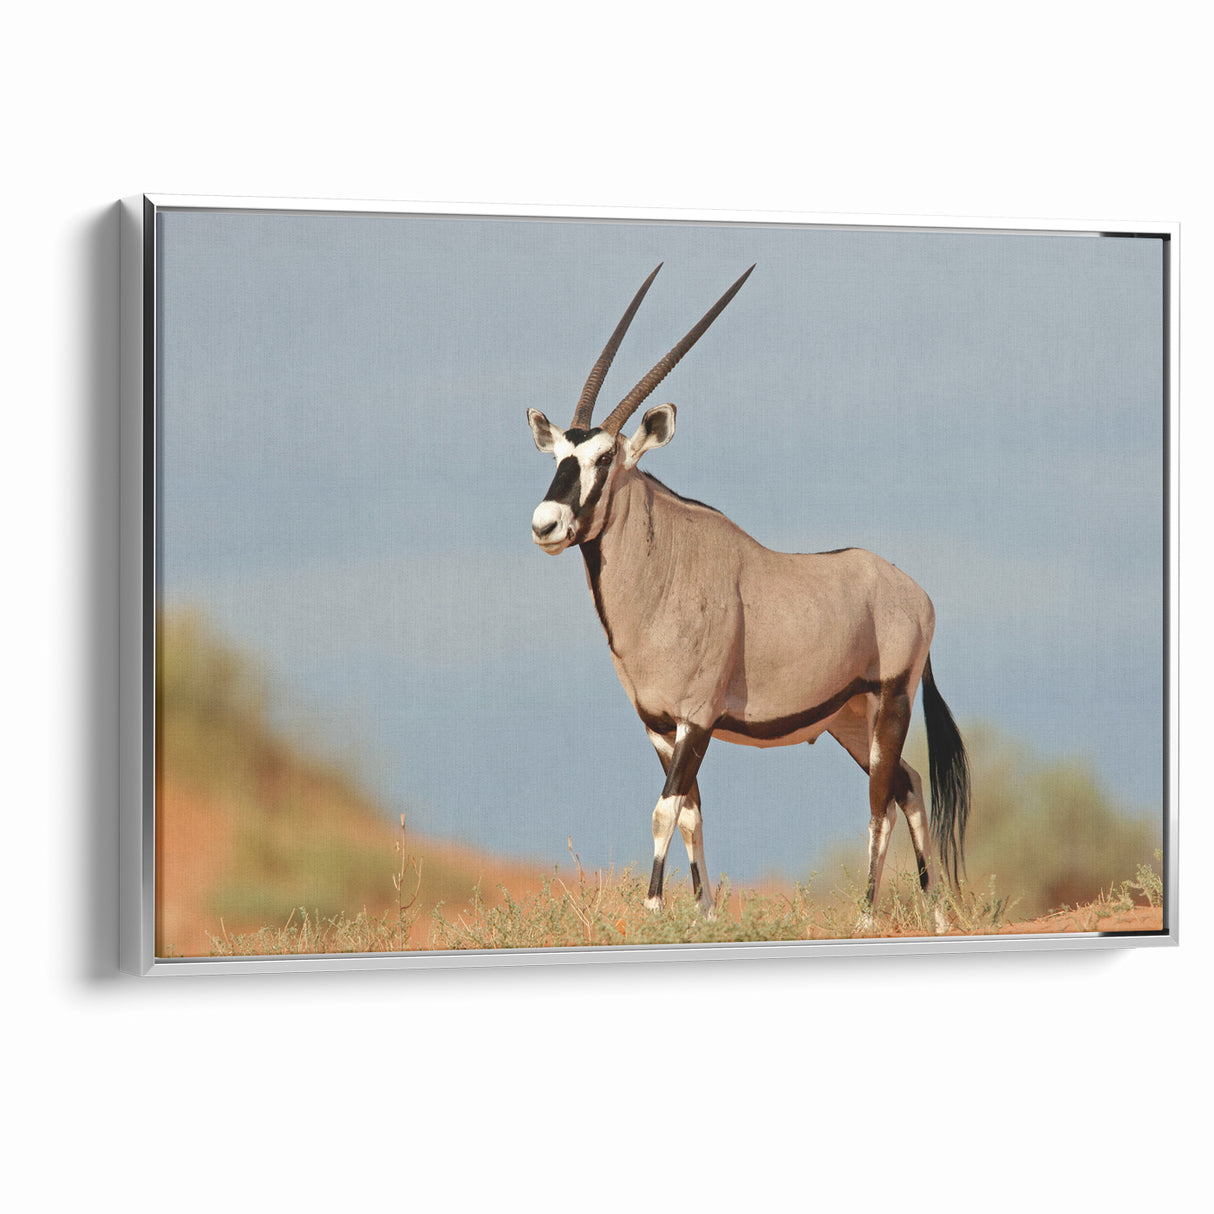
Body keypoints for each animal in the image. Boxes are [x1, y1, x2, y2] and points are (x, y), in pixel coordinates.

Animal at [527, 264, 969, 929]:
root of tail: (914, 593)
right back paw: (936, 916)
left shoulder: (698, 717)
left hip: (891, 700)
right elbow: (689, 811)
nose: (546, 524)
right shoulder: (659, 725)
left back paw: (867, 916)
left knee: (880, 800)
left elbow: (665, 808)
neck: (664, 570)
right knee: (909, 784)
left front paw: (654, 909)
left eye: (604, 458)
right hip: (848, 718)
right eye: (557, 455)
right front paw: (704, 915)